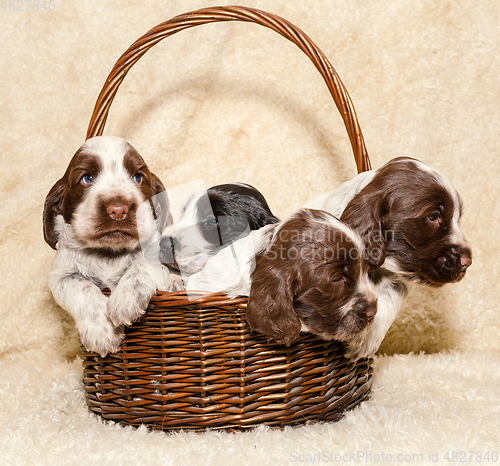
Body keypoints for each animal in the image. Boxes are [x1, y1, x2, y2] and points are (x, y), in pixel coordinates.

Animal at [43, 137, 176, 354]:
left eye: (138, 177)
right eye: (86, 178)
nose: (118, 210)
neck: (108, 252)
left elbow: (141, 265)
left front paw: (125, 301)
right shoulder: (61, 275)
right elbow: (81, 286)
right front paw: (101, 332)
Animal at [304, 158, 472, 358]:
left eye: (457, 218)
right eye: (433, 217)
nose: (467, 262)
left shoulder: (396, 281)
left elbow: (389, 296)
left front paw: (365, 340)